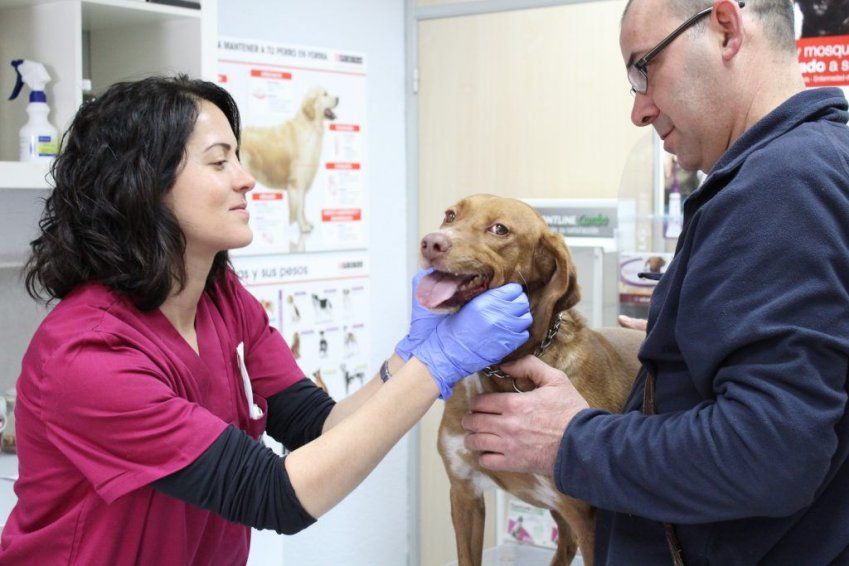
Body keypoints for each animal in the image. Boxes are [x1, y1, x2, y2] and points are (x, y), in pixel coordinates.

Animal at [418, 196, 644, 566]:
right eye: (450, 215)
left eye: (499, 229)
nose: (431, 243)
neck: (499, 371)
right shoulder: (464, 492)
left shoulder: (590, 517)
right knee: (565, 544)